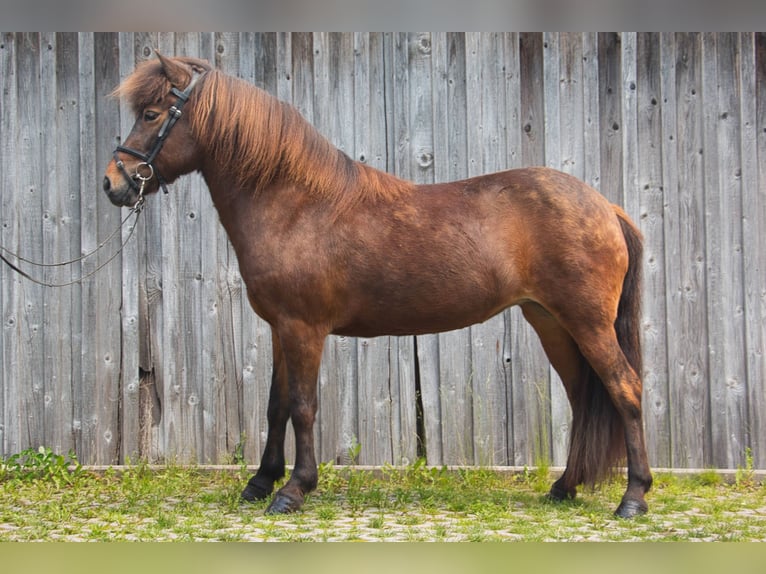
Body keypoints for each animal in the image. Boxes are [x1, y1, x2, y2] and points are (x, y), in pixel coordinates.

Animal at [102, 54, 656, 520]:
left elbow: (303, 407)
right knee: (584, 397)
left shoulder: (303, 329)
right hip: (552, 323)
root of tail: (606, 207)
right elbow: (276, 405)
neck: (296, 205)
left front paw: (293, 490)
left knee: (625, 389)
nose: (114, 182)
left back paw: (633, 498)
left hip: (586, 322)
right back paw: (566, 486)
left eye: (151, 114)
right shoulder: (282, 328)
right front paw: (260, 482)